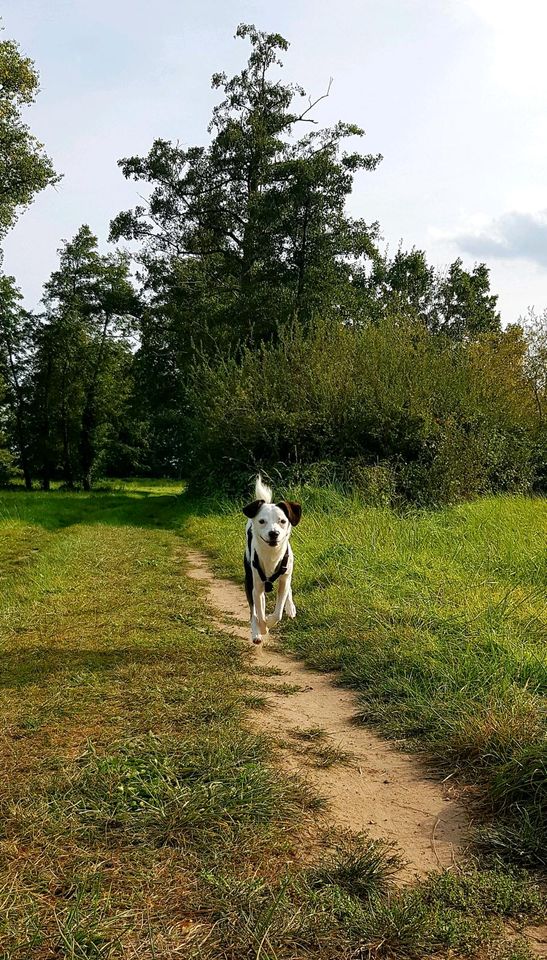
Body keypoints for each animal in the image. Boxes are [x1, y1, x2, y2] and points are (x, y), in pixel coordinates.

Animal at [245, 474, 304, 644]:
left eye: (282, 521)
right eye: (261, 521)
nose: (274, 533)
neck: (272, 554)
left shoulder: (285, 577)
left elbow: (278, 612)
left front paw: (272, 619)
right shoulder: (257, 585)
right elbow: (258, 611)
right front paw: (262, 628)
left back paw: (290, 608)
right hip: (249, 578)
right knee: (253, 610)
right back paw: (256, 632)